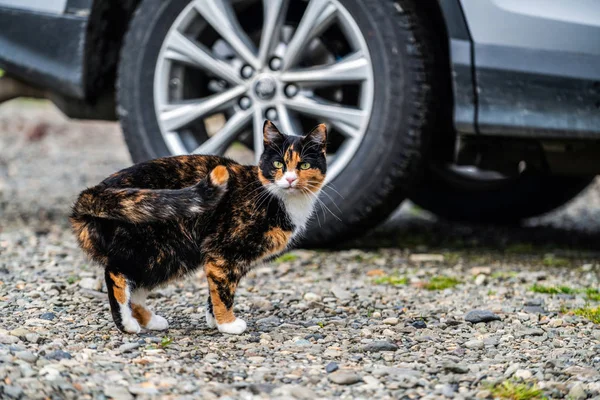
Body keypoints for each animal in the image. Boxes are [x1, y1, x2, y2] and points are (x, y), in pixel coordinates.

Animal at [70, 121, 328, 334]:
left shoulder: (230, 262)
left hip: (168, 256)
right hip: (161, 247)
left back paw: (151, 321)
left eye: (304, 164)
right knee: (116, 273)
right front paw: (228, 324)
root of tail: (95, 192)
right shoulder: (223, 252)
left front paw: (215, 320)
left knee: (137, 286)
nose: (290, 179)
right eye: (278, 163)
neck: (274, 196)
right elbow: (223, 292)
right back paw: (128, 325)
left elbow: (219, 290)